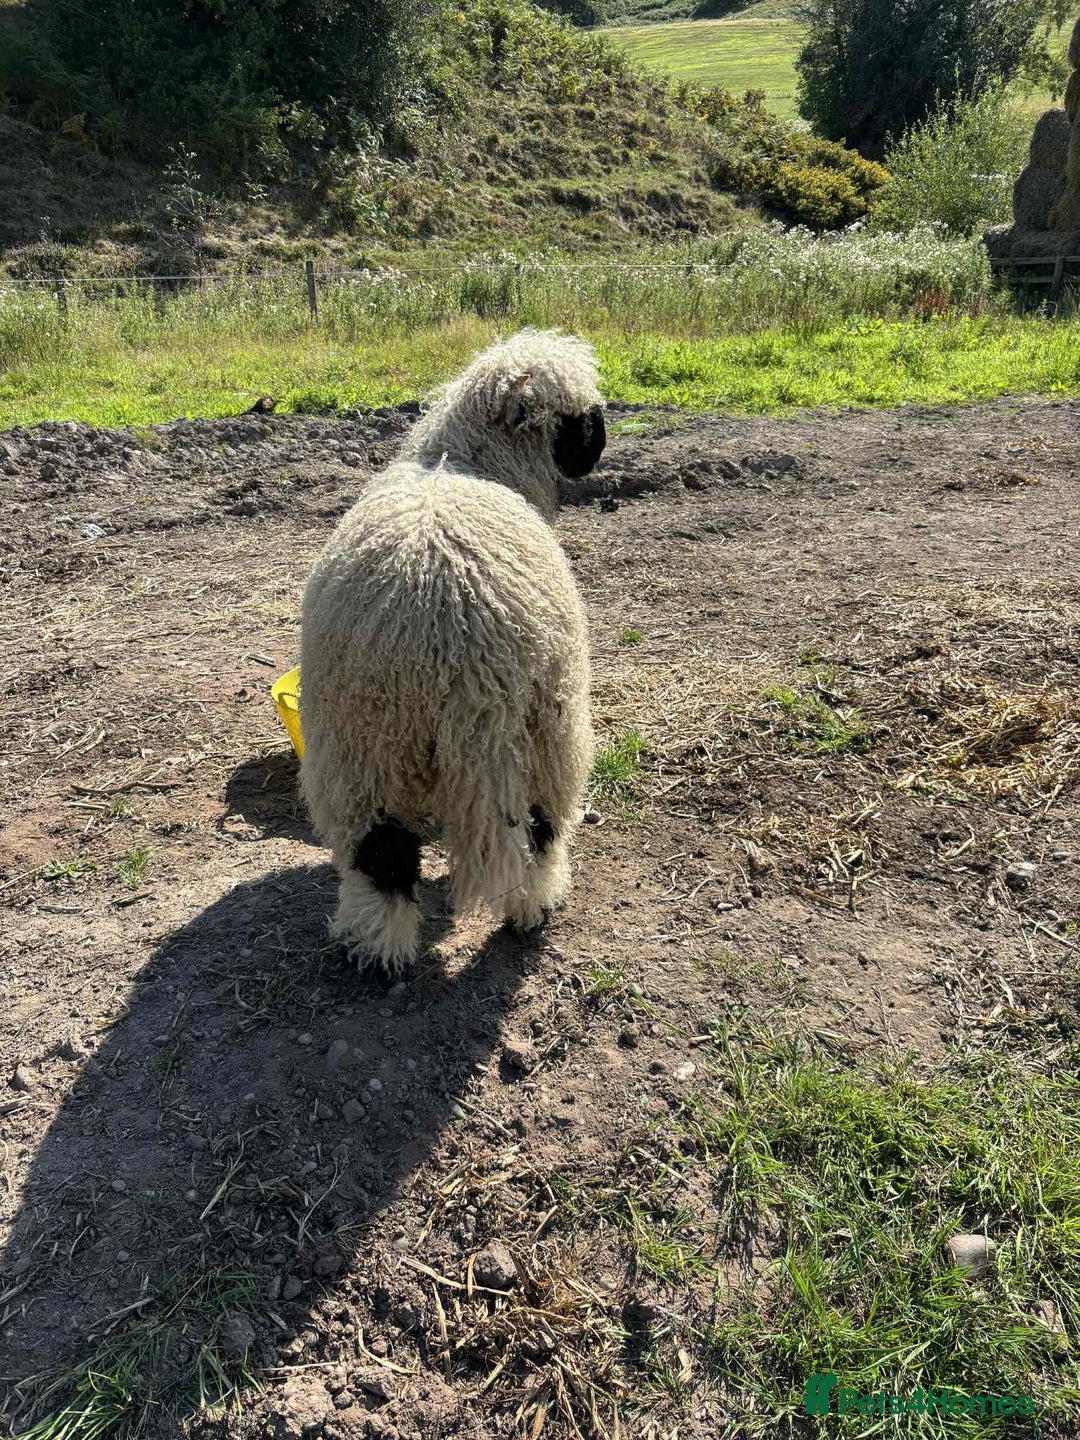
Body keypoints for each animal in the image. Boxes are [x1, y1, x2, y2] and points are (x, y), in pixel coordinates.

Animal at [299, 329, 606, 974]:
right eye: (577, 418)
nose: (597, 448)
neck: (465, 462)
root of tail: (455, 638)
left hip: (364, 737)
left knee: (383, 850)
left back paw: (380, 950)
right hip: (545, 722)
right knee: (538, 824)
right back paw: (534, 905)